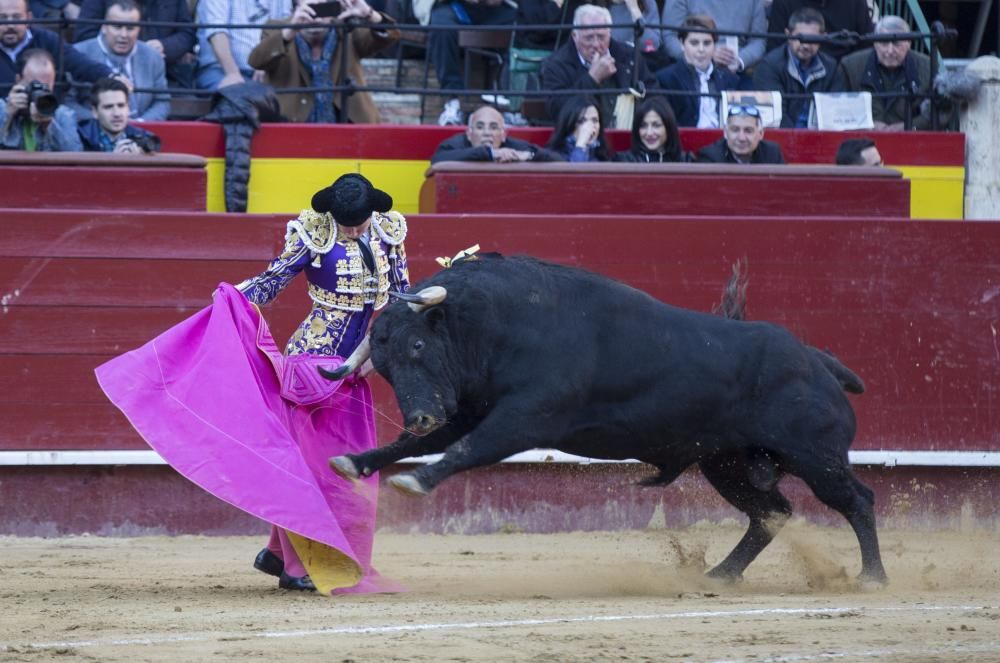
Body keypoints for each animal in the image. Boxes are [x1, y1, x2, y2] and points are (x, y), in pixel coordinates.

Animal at [322, 254, 892, 588]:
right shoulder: (469, 408)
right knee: (771, 512)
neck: (497, 323)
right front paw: (355, 462)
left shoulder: (524, 419)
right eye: (384, 366)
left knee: (856, 500)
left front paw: (415, 482)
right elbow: (415, 444)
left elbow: (466, 449)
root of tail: (817, 360)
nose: (419, 414)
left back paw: (873, 578)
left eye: (418, 346)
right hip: (726, 465)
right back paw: (720, 574)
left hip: (815, 456)